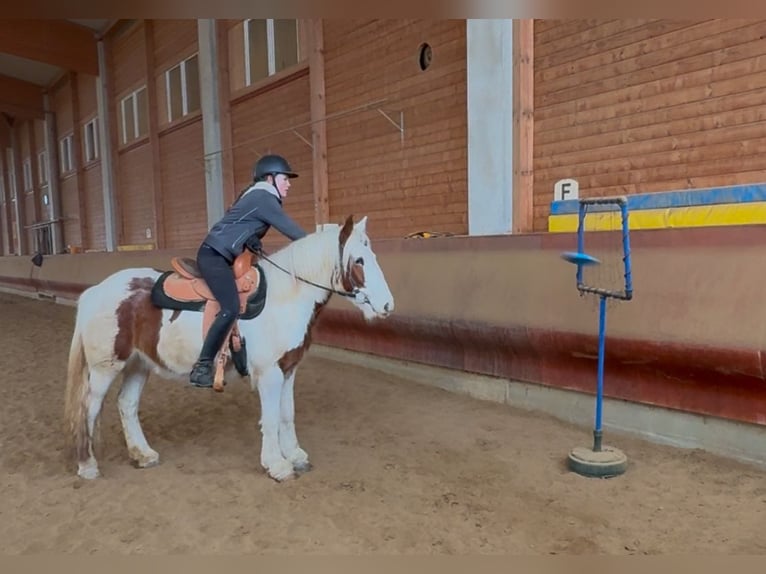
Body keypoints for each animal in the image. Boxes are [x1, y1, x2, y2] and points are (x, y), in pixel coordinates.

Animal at [64, 215, 396, 482]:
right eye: (359, 260)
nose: (387, 305)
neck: (284, 298)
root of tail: (96, 291)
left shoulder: (288, 370)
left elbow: (287, 414)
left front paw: (296, 455)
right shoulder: (269, 374)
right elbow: (271, 419)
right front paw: (277, 465)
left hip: (138, 364)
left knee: (127, 405)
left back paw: (143, 454)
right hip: (105, 368)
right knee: (88, 408)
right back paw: (88, 465)